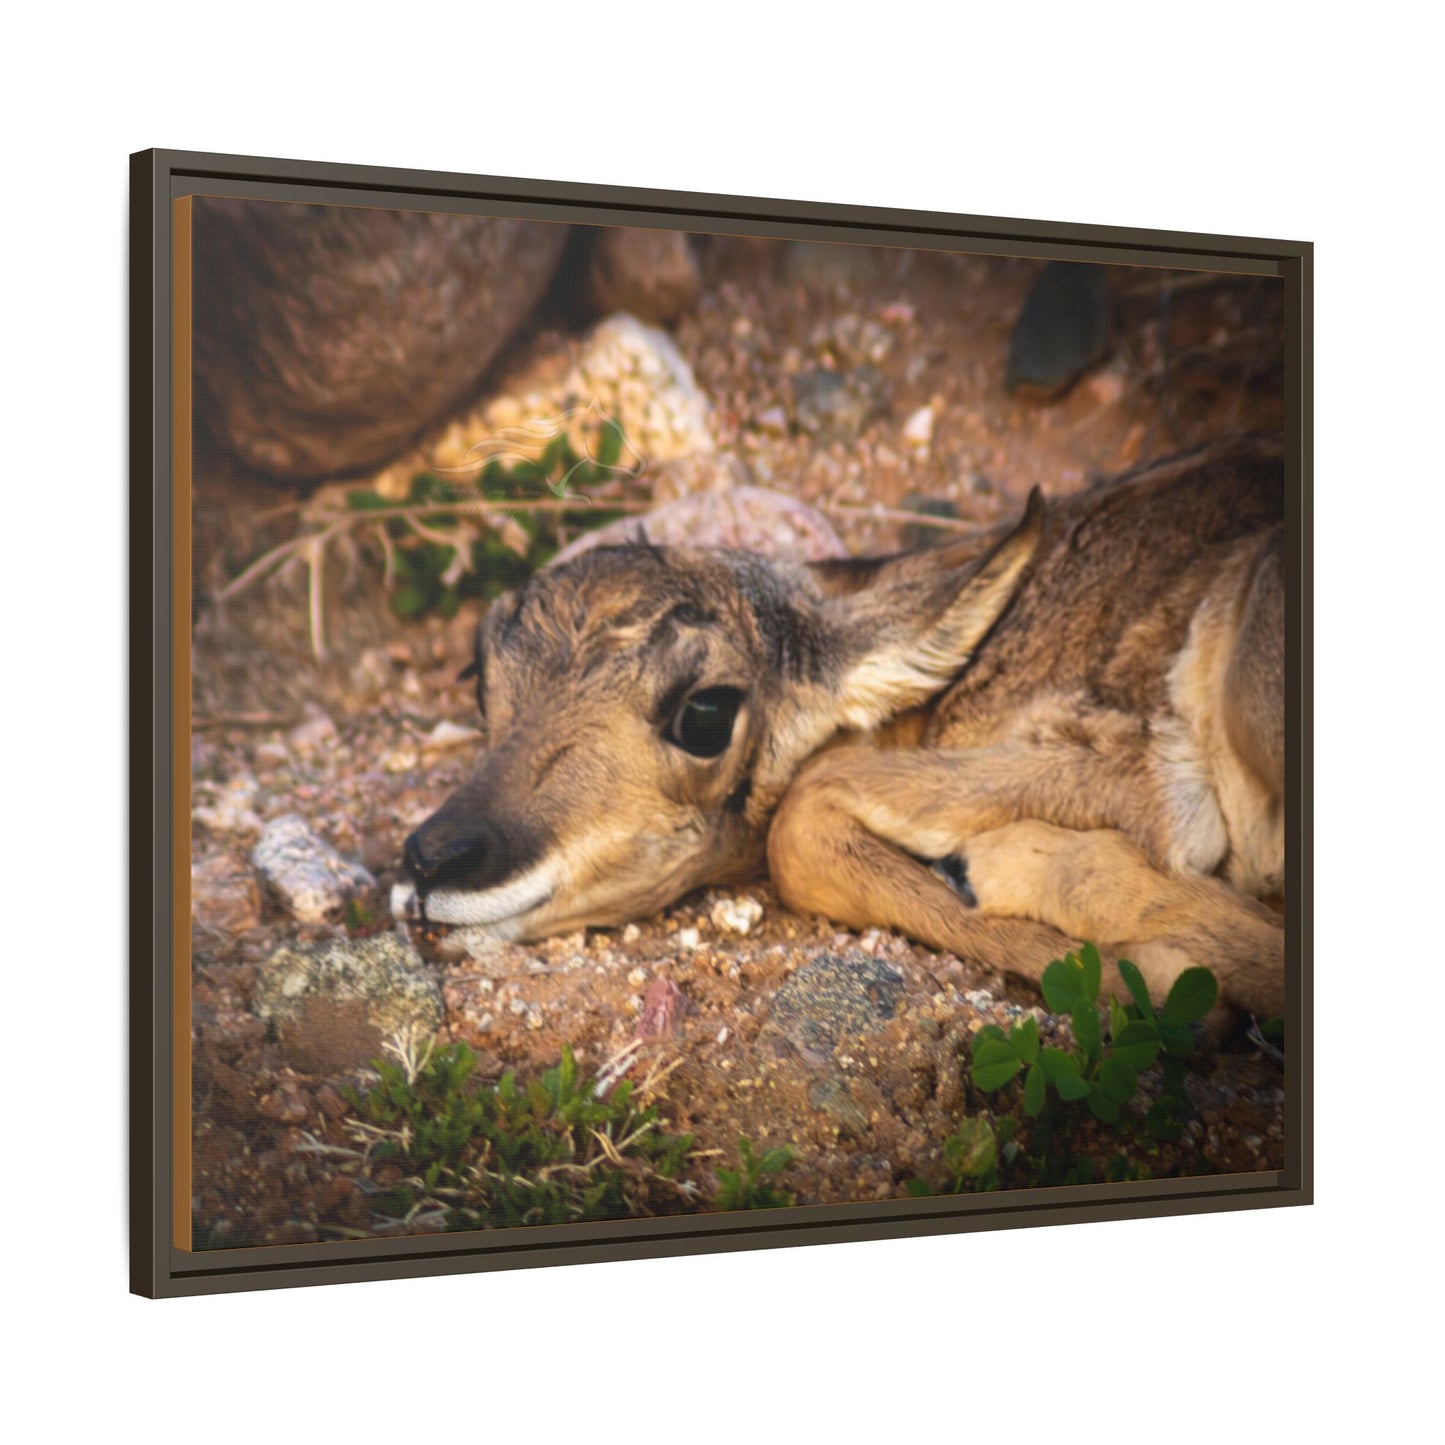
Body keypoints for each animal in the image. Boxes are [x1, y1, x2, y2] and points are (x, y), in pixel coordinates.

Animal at [392, 433, 1287, 1022]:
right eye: (481, 673)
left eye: (705, 712)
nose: (432, 860)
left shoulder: (1143, 779)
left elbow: (801, 816)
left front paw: (1160, 976)